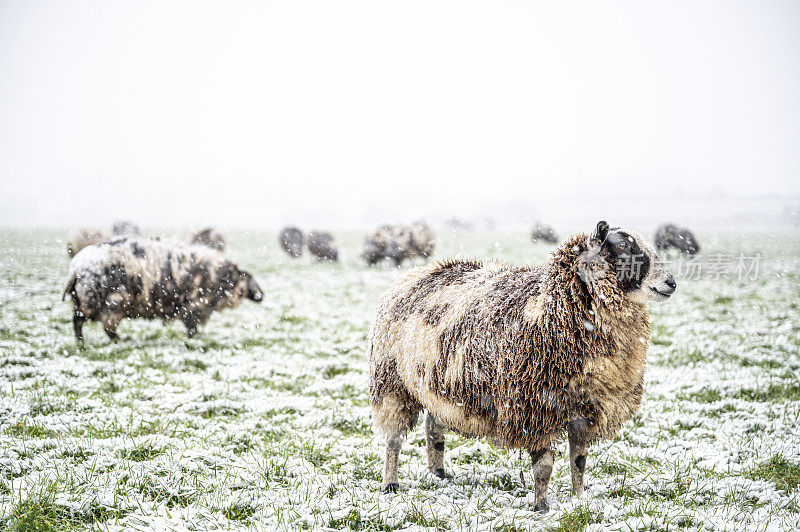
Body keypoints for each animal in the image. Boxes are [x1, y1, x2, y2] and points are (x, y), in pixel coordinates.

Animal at [63, 235, 262, 342]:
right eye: (250, 279)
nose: (261, 296)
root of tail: (75, 268)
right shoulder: (193, 306)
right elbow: (192, 328)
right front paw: (193, 341)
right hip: (109, 303)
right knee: (96, 325)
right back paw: (106, 342)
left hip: (86, 302)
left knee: (80, 321)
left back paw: (82, 343)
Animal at [368, 219, 676, 512]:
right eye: (622, 245)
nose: (671, 282)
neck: (554, 305)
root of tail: (418, 271)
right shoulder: (535, 409)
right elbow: (544, 467)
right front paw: (541, 508)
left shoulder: (584, 410)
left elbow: (579, 461)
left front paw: (579, 499)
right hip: (392, 383)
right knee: (394, 439)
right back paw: (390, 483)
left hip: (437, 382)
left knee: (434, 429)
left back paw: (438, 474)